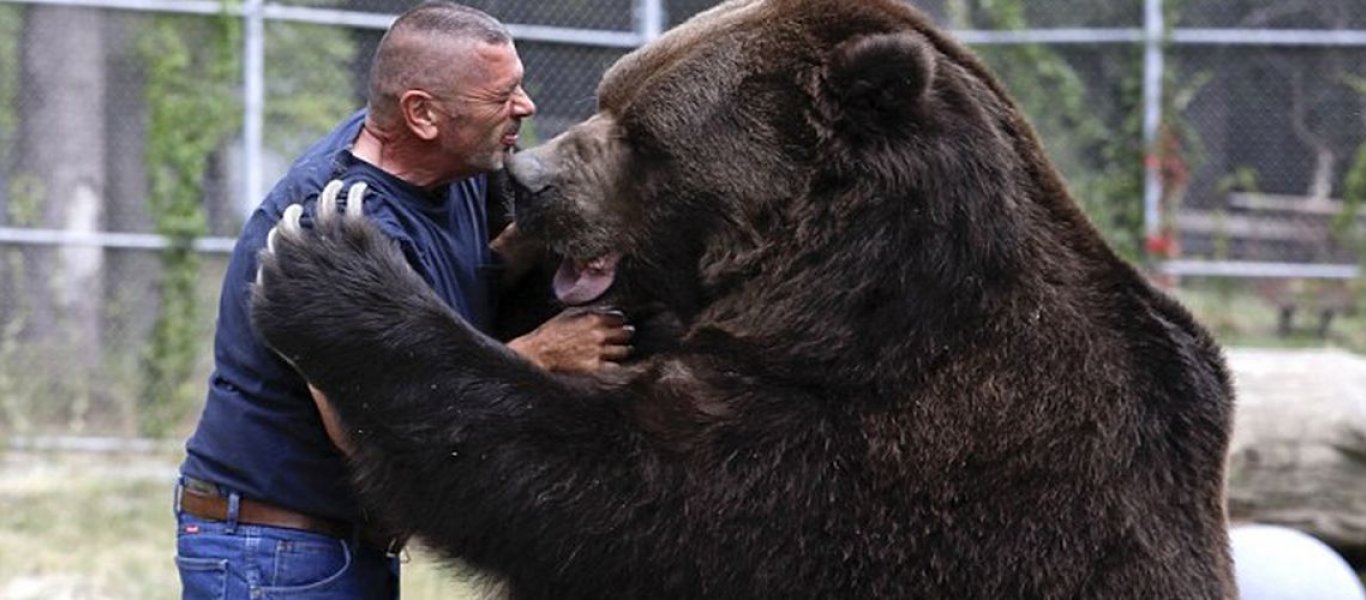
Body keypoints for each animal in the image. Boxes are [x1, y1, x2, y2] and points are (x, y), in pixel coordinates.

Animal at [248, 0, 1240, 598]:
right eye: (608, 94)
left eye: (645, 138)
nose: (526, 181)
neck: (851, 294)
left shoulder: (888, 450)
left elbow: (615, 488)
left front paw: (332, 267)